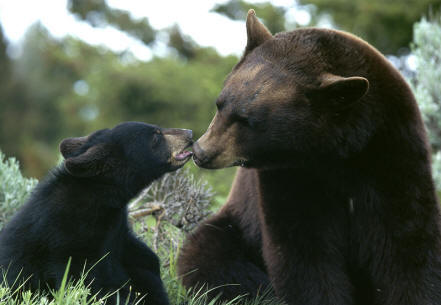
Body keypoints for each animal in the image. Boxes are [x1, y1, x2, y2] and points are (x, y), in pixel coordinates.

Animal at [177, 9, 440, 304]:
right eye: (220, 104)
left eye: (248, 121)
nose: (201, 151)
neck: (337, 152)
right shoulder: (292, 176)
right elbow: (304, 251)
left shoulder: (391, 150)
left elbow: (405, 244)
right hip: (235, 226)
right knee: (211, 256)